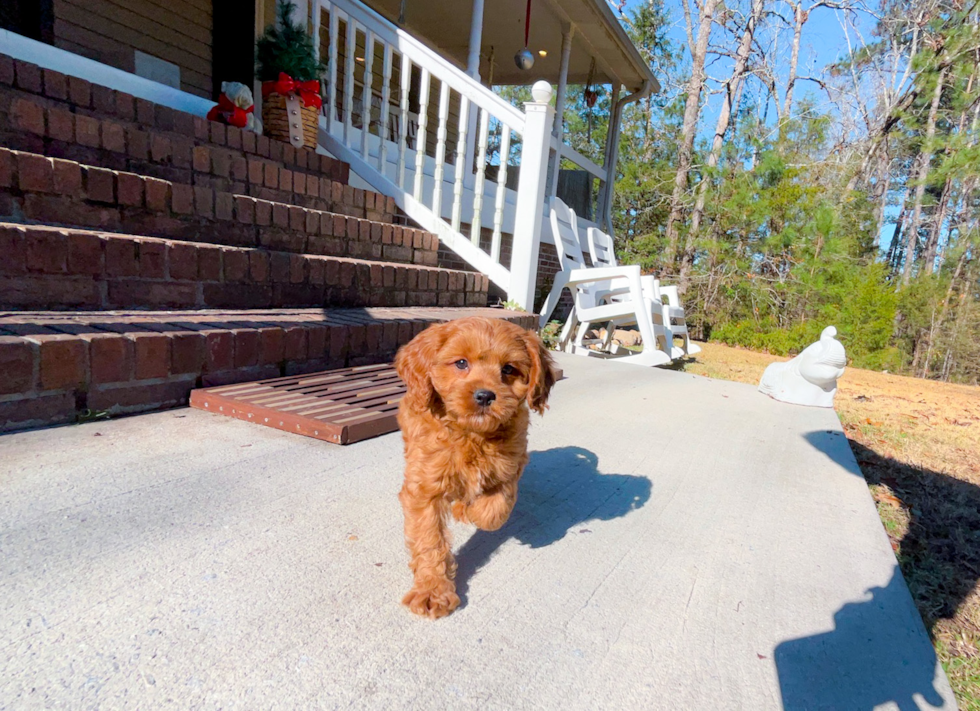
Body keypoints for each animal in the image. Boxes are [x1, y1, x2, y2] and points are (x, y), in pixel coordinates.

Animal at [394, 318, 556, 616]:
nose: (484, 396)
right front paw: (432, 592)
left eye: (508, 369)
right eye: (460, 363)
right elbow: (429, 540)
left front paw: (474, 511)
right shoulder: (424, 488)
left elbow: (495, 509)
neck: (472, 434)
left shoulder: (512, 462)